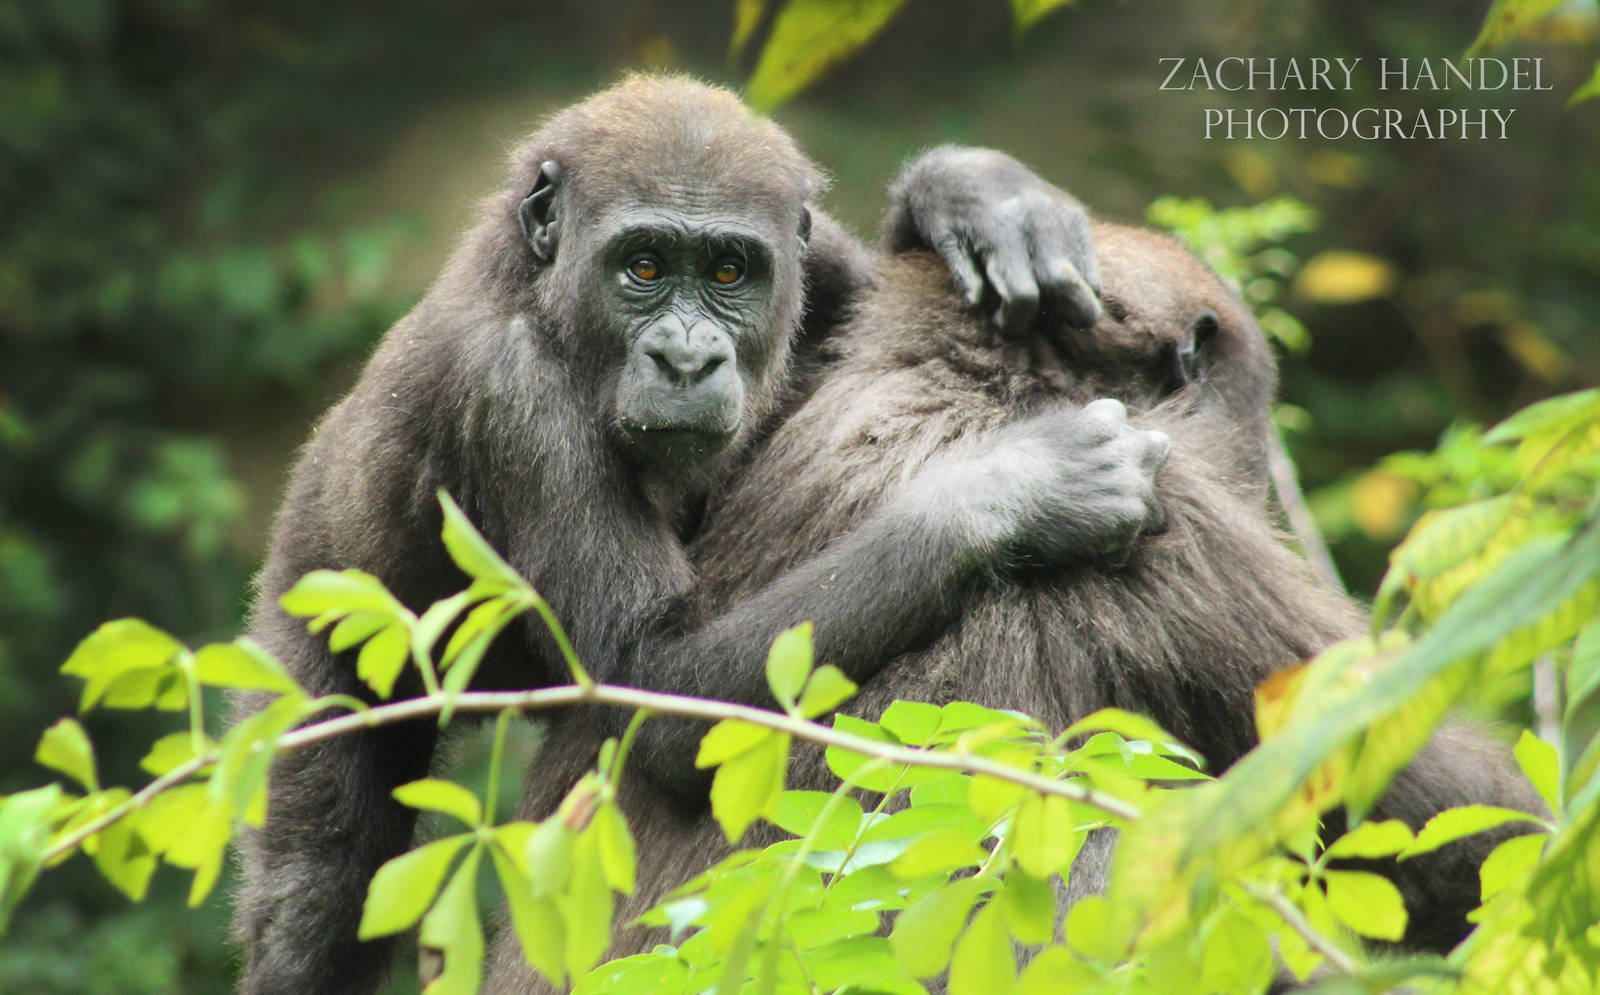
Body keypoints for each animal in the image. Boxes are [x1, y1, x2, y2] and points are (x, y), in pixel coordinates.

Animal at [232, 74, 1171, 995]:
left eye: (729, 270)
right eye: (642, 266)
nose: (686, 358)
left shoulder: (804, 262)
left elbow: (861, 288)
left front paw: (975, 197)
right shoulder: (511, 392)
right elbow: (657, 685)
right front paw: (1017, 488)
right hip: (300, 660)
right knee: (316, 889)